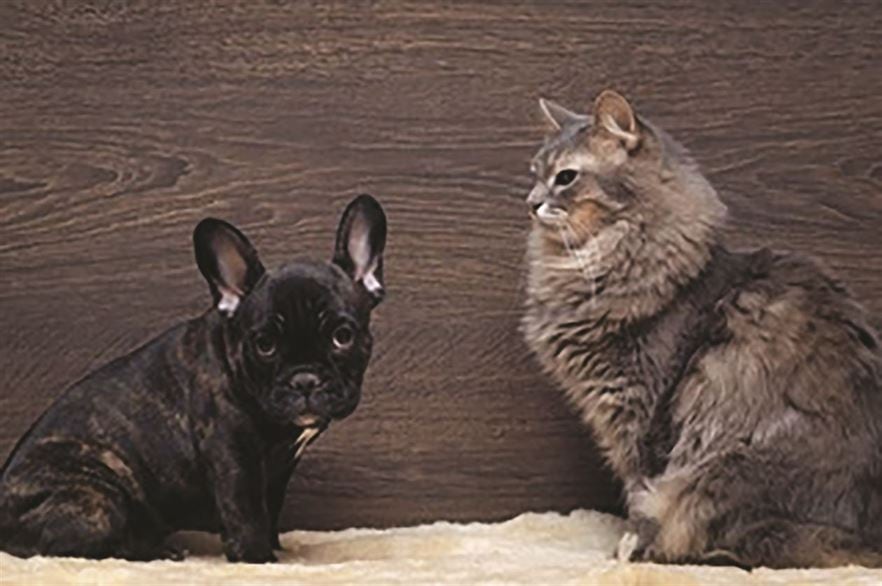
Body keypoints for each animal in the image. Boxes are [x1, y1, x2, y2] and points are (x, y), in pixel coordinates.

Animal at [0, 194, 384, 560]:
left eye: (343, 336)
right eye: (265, 345)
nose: (304, 380)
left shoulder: (278, 468)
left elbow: (270, 509)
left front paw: (276, 548)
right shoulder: (234, 456)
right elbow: (247, 514)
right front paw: (259, 559)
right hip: (96, 500)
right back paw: (156, 551)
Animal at [520, 90, 876, 564]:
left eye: (566, 177)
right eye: (536, 174)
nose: (530, 202)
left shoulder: (640, 413)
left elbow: (639, 493)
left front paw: (628, 551)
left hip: (719, 470)